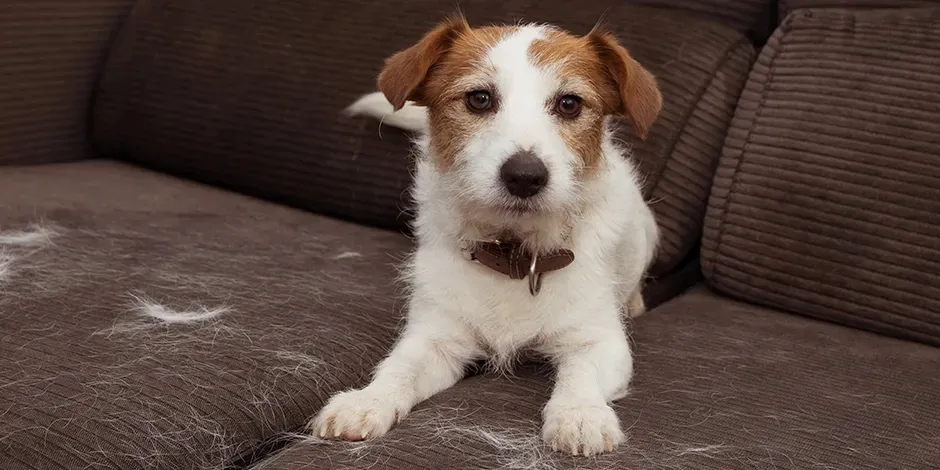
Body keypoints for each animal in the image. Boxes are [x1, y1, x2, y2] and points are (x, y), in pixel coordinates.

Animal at [310, 14, 660, 456]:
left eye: (569, 103)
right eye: (479, 99)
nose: (525, 176)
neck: (515, 255)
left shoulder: (600, 341)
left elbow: (581, 374)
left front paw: (580, 414)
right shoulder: (435, 336)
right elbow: (399, 368)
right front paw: (367, 401)